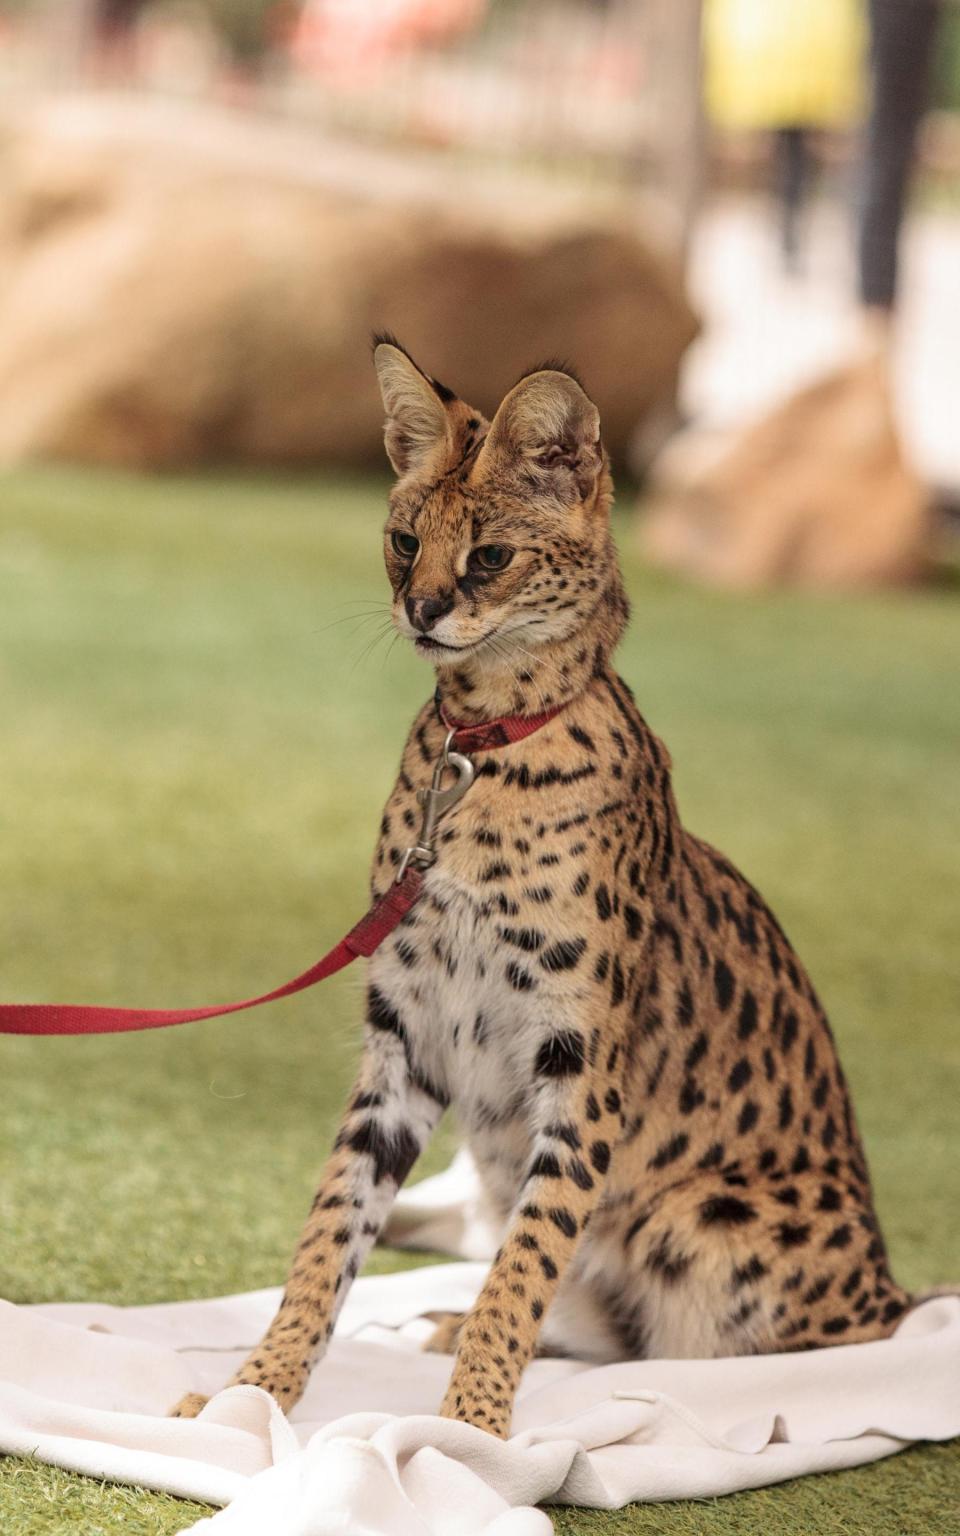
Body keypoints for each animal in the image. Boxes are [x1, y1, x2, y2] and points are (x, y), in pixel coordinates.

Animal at [170, 339, 903, 1437]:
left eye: (487, 558)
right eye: (403, 542)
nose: (421, 608)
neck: (483, 746)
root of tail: (896, 1289)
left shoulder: (580, 1060)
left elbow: (526, 1262)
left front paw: (468, 1432)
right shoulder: (406, 1038)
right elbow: (329, 1236)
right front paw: (252, 1396)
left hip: (699, 1220)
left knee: (719, 1346)